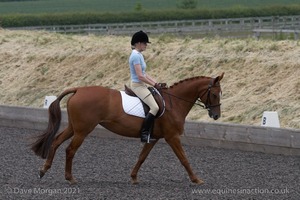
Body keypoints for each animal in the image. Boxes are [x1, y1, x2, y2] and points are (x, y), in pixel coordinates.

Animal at [31, 73, 224, 184]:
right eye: (215, 94)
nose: (216, 116)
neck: (173, 103)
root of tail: (78, 89)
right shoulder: (172, 137)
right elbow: (184, 159)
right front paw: (196, 179)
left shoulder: (153, 138)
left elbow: (141, 158)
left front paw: (133, 177)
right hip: (83, 130)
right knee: (70, 150)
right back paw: (70, 178)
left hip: (74, 127)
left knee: (56, 142)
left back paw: (43, 170)